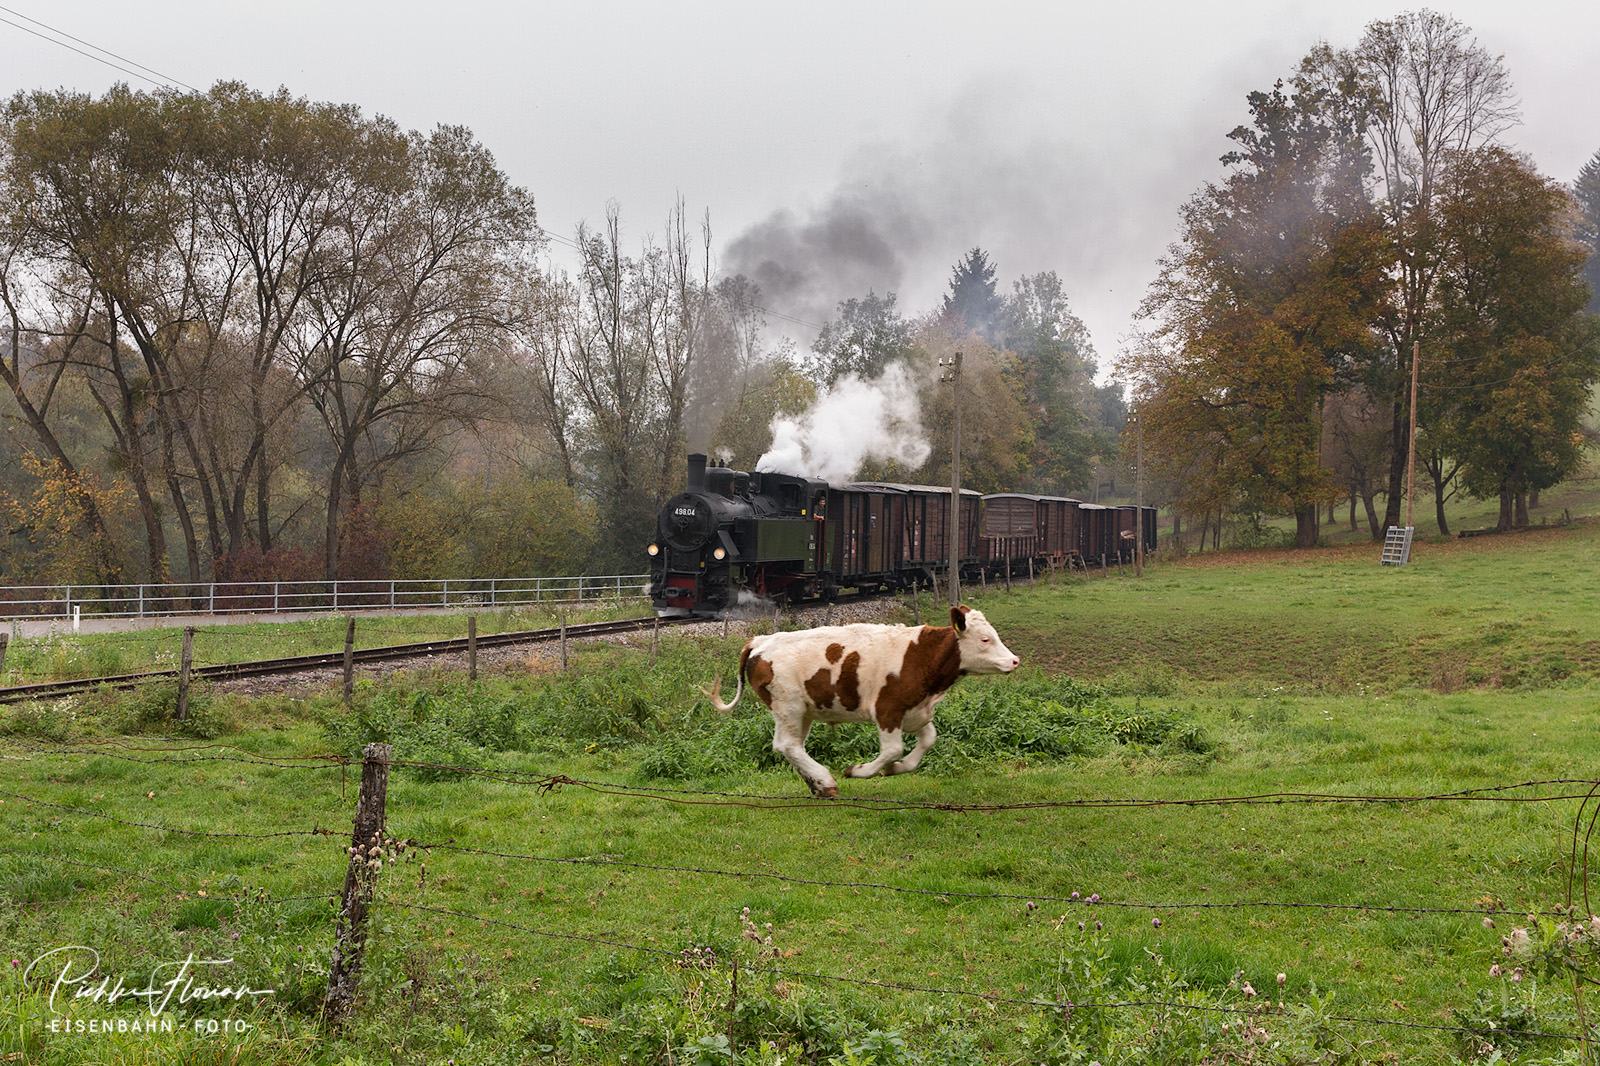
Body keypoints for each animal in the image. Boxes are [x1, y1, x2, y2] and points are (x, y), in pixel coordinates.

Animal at [707, 601, 1017, 793]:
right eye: (985, 639)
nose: (1014, 661)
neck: (920, 656)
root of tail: (760, 640)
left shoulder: (916, 711)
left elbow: (928, 740)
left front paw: (898, 769)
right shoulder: (887, 709)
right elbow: (892, 750)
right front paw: (859, 771)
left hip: (802, 710)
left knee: (790, 746)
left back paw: (817, 785)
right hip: (788, 706)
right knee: (787, 745)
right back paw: (825, 781)